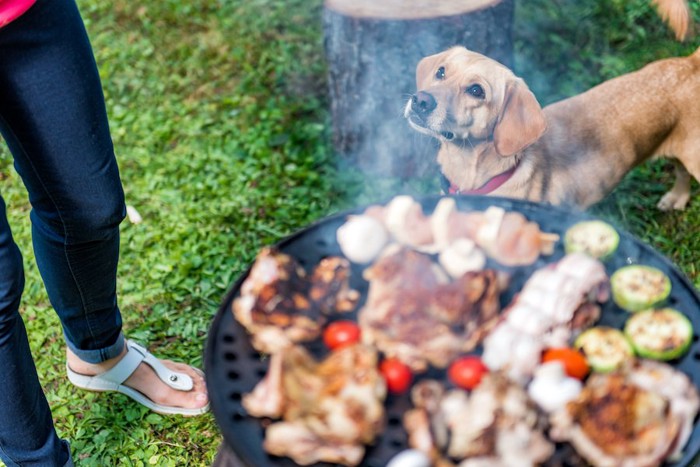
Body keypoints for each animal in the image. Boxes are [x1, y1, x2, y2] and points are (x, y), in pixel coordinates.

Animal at [404, 46, 700, 210]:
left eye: (476, 90)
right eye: (441, 72)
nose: (420, 100)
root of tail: (691, 64)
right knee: (681, 173)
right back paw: (677, 198)